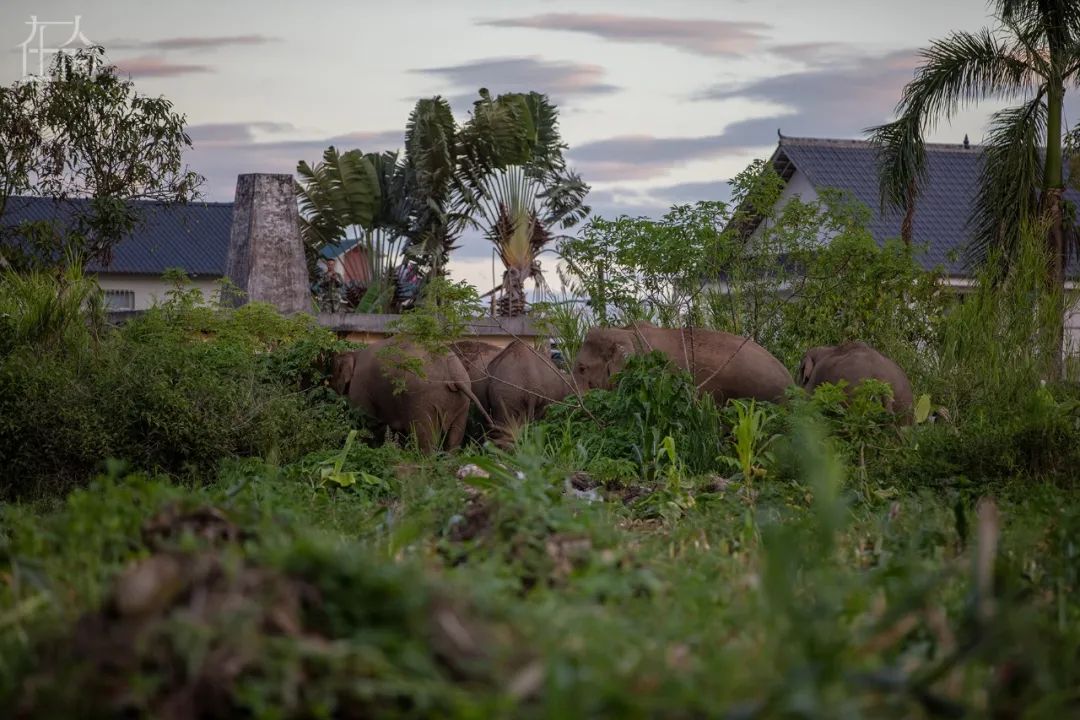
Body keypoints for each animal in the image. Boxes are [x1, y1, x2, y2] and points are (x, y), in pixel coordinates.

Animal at [330, 338, 489, 452]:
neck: (355, 353)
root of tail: (453, 373)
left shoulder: (360, 388)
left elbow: (369, 423)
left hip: (423, 400)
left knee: (425, 438)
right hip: (462, 402)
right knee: (454, 439)